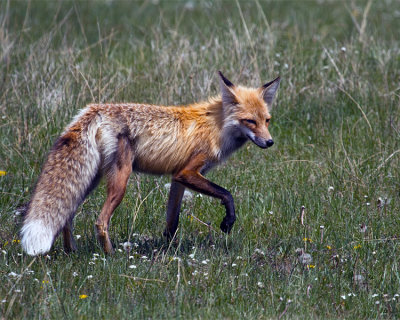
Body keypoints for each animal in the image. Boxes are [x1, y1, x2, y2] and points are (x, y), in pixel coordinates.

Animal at [20, 72, 280, 255]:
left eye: (267, 120)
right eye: (250, 121)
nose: (270, 142)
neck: (217, 126)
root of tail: (94, 109)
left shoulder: (178, 178)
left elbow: (172, 221)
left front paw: (169, 250)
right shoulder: (188, 171)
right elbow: (227, 194)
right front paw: (228, 221)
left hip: (90, 180)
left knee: (67, 216)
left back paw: (71, 251)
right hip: (120, 181)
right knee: (100, 221)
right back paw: (111, 256)